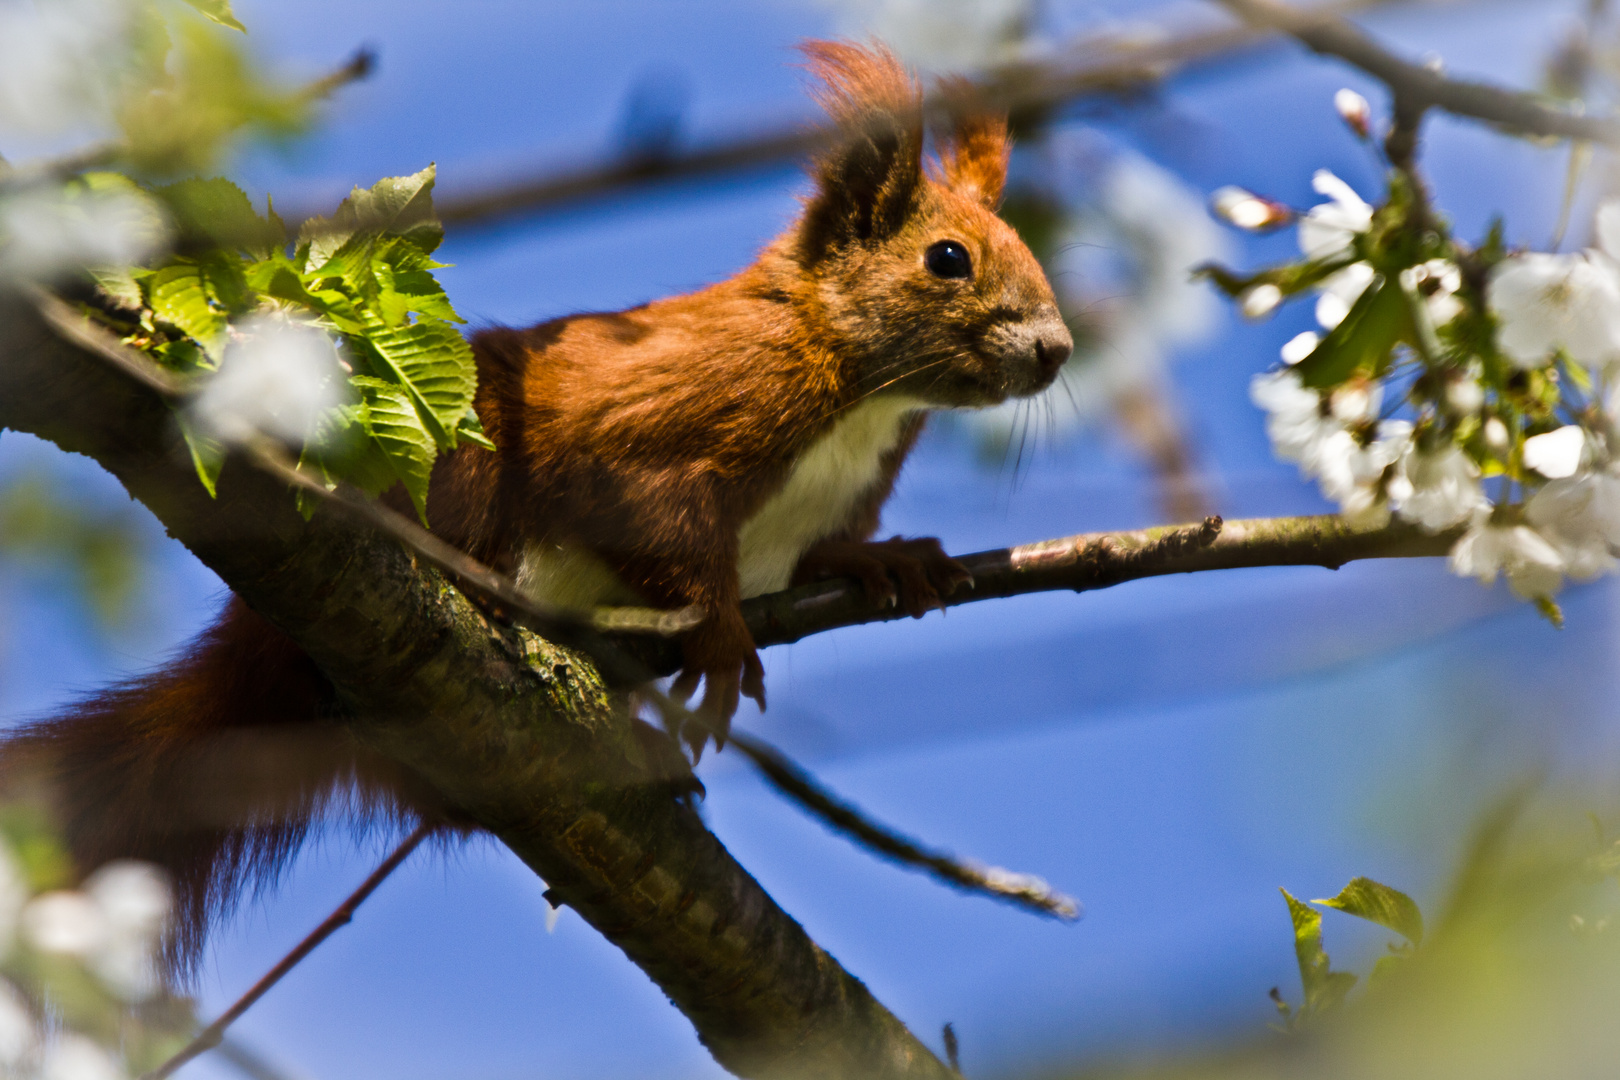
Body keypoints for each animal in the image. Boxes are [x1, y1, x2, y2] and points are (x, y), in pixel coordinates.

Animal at [3, 42, 1075, 971]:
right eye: (948, 259)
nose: (1057, 349)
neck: (864, 395)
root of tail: (254, 646)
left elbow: (815, 556)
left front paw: (887, 560)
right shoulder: (670, 418)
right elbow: (651, 512)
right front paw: (723, 634)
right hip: (460, 482)